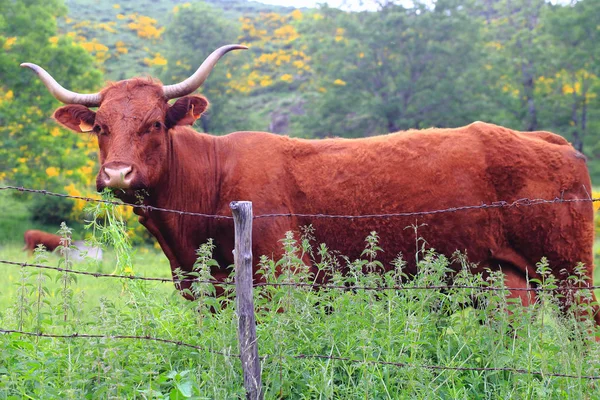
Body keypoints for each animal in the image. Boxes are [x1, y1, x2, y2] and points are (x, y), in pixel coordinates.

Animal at [23, 45, 600, 324]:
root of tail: (542, 138)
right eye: (101, 127)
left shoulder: (286, 282)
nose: (118, 174)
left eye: (155, 124)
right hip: (508, 279)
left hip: (569, 274)